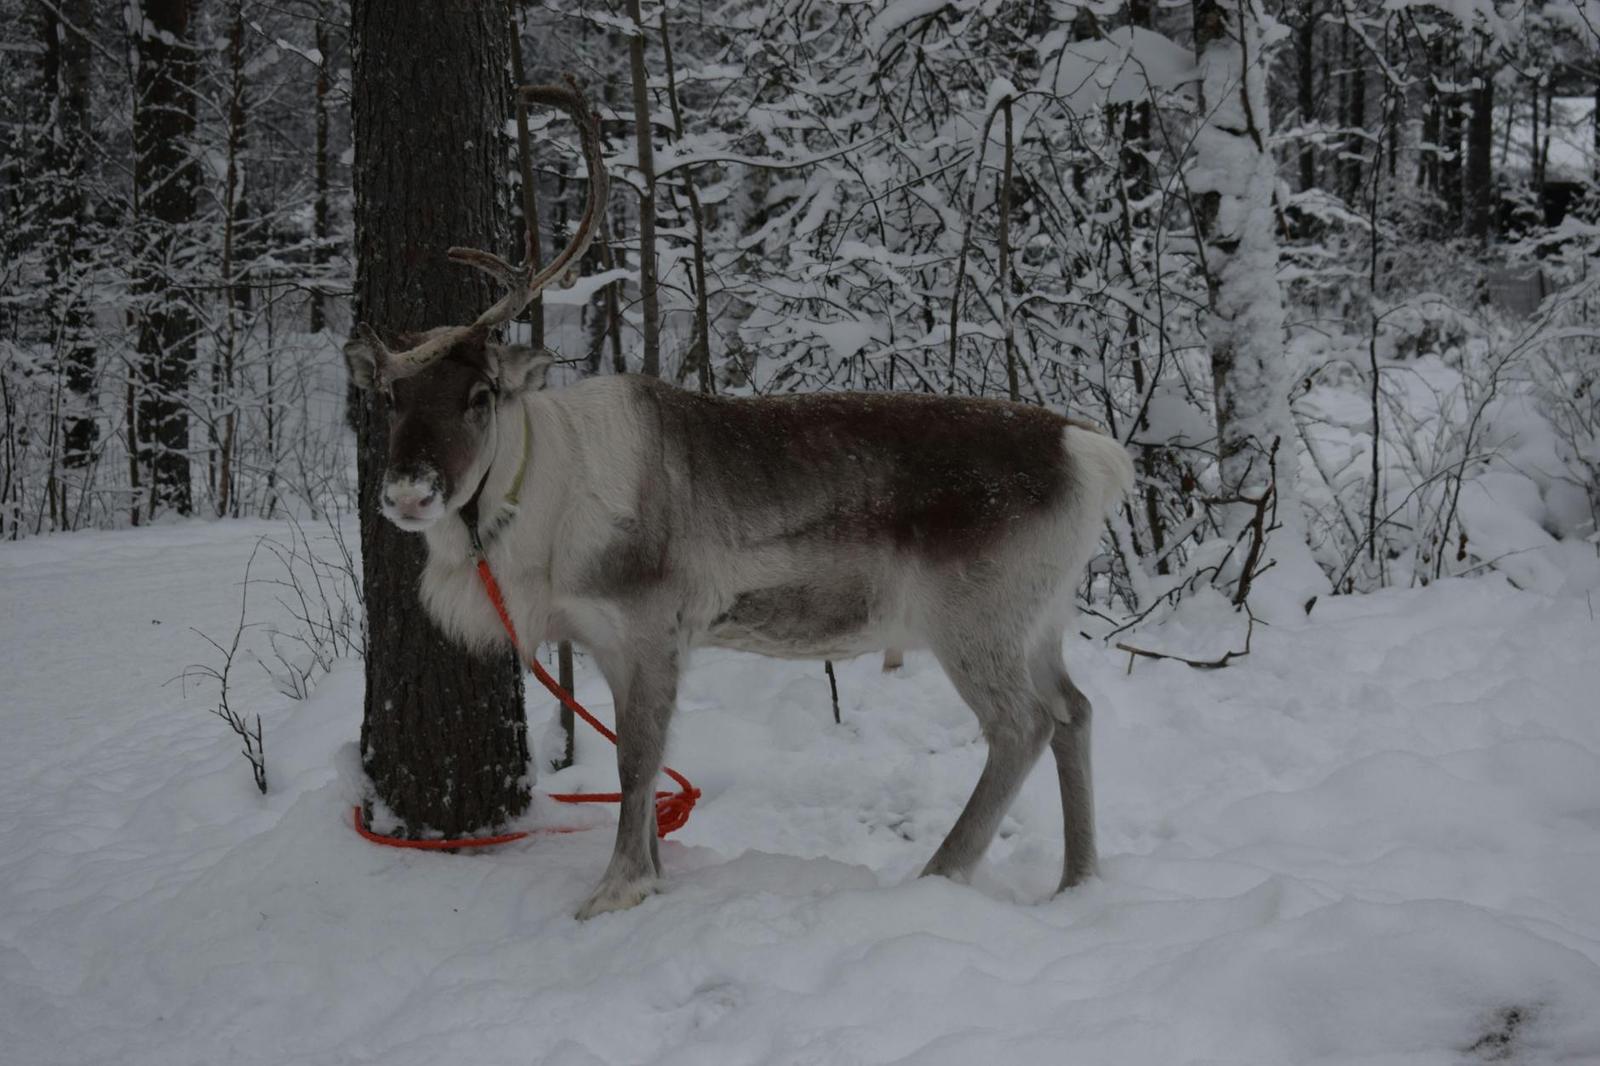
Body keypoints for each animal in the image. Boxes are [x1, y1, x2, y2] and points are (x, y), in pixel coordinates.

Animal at [345, 83, 1135, 920]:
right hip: (1039, 619)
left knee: (1024, 724)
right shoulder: (607, 638)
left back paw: (942, 872)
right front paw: (653, 874)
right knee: (1076, 710)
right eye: (390, 397)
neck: (541, 505)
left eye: (481, 395)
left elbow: (636, 762)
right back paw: (1078, 880)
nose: (408, 492)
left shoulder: (650, 626)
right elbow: (647, 761)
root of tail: (1091, 451)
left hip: (976, 621)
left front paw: (617, 889)